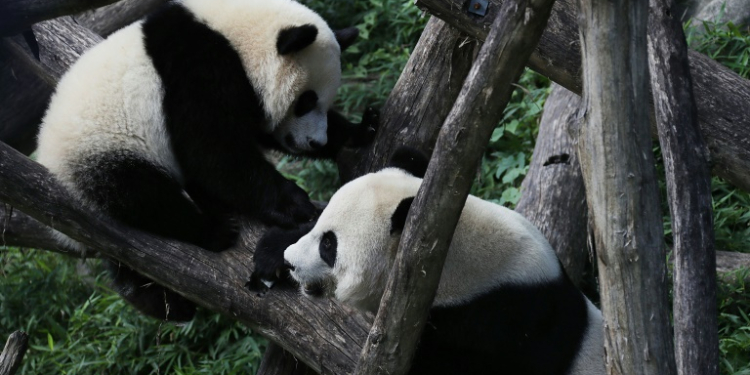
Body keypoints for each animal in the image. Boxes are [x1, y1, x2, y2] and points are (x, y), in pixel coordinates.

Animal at [35, 0, 376, 324]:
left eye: (324, 102)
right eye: (306, 100)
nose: (315, 141)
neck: (234, 36)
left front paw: (359, 130)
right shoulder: (196, 70)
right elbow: (213, 150)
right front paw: (294, 204)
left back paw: (163, 302)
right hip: (104, 152)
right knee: (144, 196)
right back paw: (213, 231)